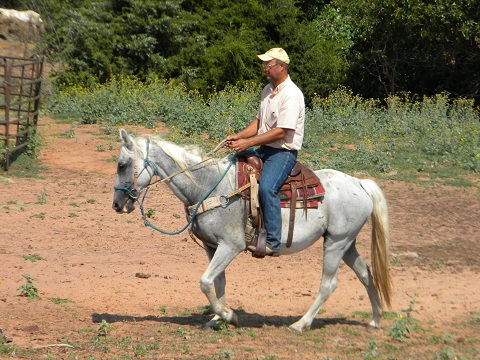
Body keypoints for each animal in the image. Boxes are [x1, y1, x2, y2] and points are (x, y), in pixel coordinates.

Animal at [113, 129, 394, 332]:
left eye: (121, 165)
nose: (116, 204)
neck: (210, 186)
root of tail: (360, 183)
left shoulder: (231, 246)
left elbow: (205, 282)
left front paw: (229, 315)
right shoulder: (212, 246)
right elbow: (218, 282)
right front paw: (217, 319)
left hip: (335, 243)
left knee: (329, 284)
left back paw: (301, 324)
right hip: (347, 243)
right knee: (366, 274)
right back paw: (375, 319)